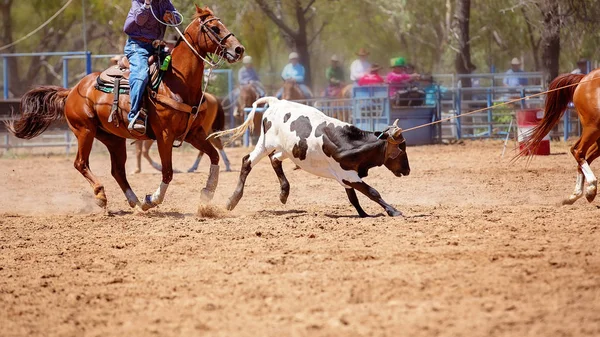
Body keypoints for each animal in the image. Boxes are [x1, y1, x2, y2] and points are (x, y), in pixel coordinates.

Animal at [7, 5, 244, 210]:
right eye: (214, 28)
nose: (239, 49)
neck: (177, 82)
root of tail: (73, 90)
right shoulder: (165, 136)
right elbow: (168, 172)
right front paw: (153, 199)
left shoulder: (193, 133)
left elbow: (213, 156)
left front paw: (207, 193)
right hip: (84, 131)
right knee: (81, 163)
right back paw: (102, 195)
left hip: (113, 138)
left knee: (117, 170)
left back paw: (135, 202)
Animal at [209, 96, 410, 217]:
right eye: (402, 149)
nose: (408, 170)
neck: (349, 142)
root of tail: (275, 102)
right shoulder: (348, 175)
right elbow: (372, 192)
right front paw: (393, 211)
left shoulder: (346, 176)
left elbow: (353, 197)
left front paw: (363, 214)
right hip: (265, 144)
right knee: (247, 162)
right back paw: (233, 200)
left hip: (289, 149)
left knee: (275, 159)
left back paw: (284, 193)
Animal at [516, 70, 600, 205]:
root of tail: (584, 78)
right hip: (593, 126)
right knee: (578, 151)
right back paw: (590, 189)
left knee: (582, 156)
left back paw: (576, 194)